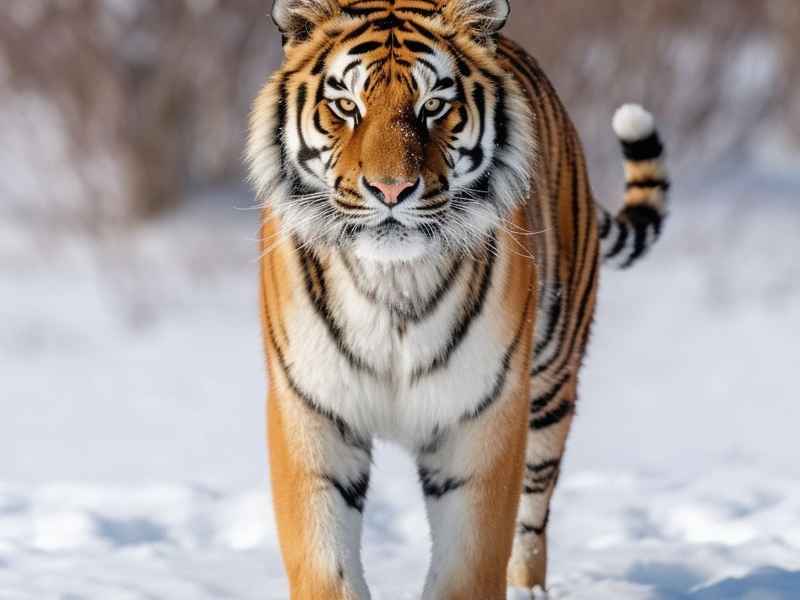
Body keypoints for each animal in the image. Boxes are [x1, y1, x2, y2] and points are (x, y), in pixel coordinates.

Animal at [247, 1, 669, 598]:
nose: (391, 190)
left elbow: (471, 559)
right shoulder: (312, 409)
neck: (394, 284)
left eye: (434, 106)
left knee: (533, 516)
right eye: (346, 105)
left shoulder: (482, 414)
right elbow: (324, 560)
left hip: (550, 383)